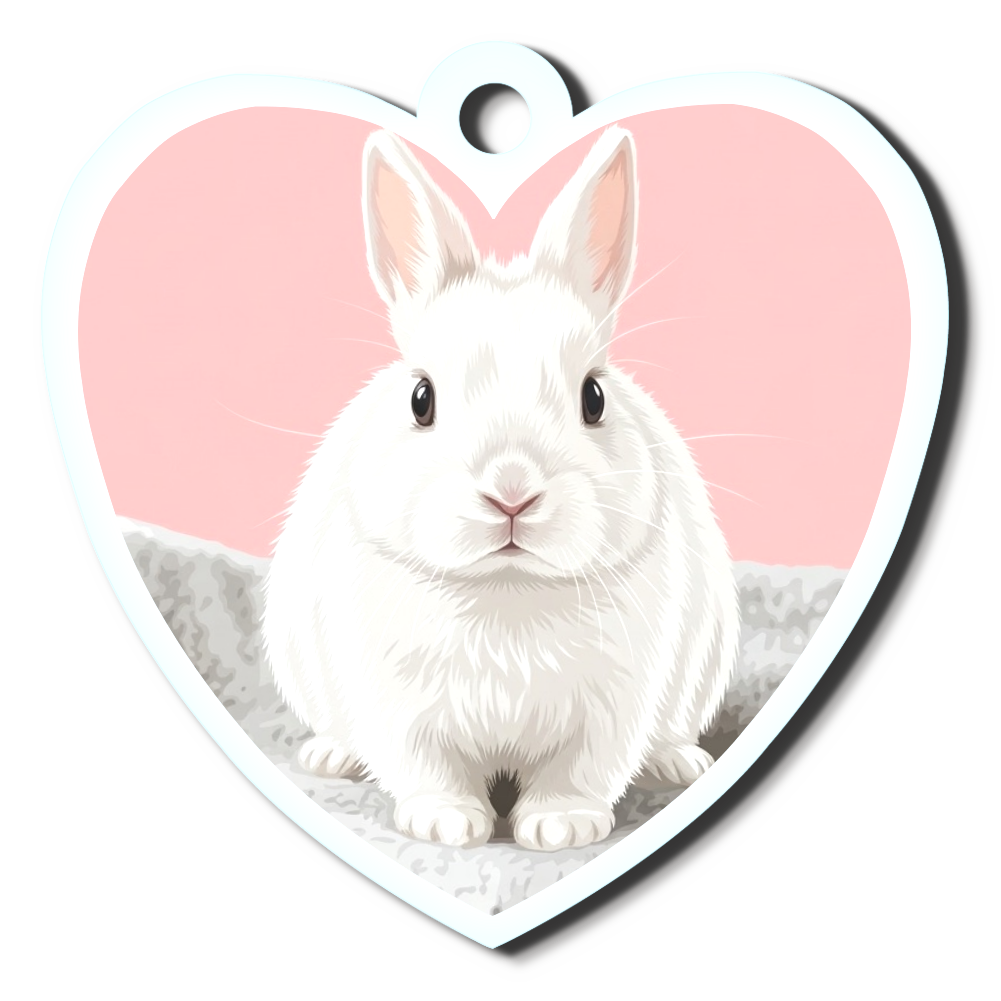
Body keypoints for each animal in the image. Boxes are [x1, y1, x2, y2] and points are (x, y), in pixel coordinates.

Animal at [261, 124, 740, 853]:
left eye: (594, 397)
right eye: (421, 398)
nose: (511, 492)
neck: (505, 593)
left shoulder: (614, 703)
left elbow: (581, 769)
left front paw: (560, 828)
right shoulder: (396, 703)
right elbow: (425, 765)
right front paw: (447, 824)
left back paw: (678, 762)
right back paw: (330, 755)